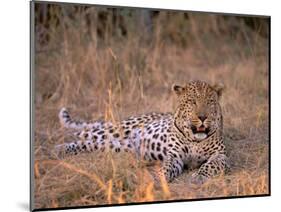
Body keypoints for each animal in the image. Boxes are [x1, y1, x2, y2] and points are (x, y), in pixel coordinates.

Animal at [55, 80, 229, 185]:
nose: (202, 117)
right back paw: (58, 148)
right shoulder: (175, 155)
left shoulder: (220, 156)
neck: (195, 140)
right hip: (117, 130)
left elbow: (210, 165)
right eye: (192, 102)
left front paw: (199, 176)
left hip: (119, 145)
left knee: (90, 143)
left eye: (210, 102)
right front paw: (160, 176)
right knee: (84, 134)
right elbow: (167, 165)